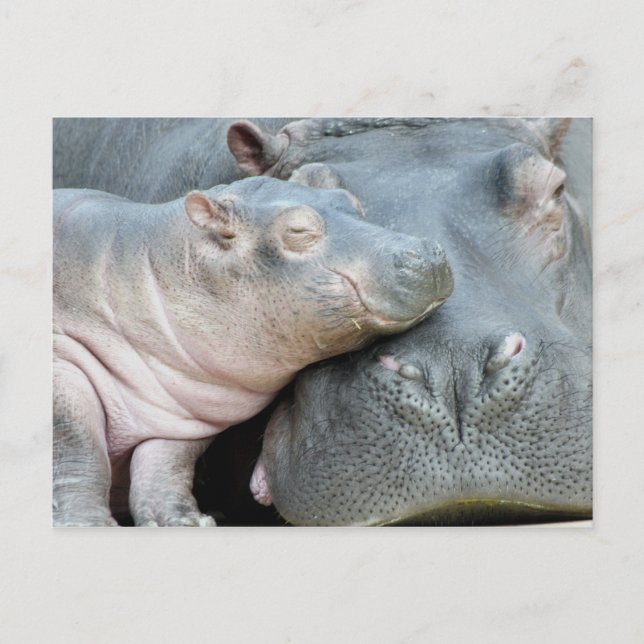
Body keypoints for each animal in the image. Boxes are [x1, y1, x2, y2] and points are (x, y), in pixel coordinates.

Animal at [53, 176, 453, 526]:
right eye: (298, 230)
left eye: (352, 201)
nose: (425, 252)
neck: (147, 259)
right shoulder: (64, 365)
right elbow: (76, 446)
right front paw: (86, 525)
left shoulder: (185, 405)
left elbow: (166, 465)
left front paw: (186, 522)